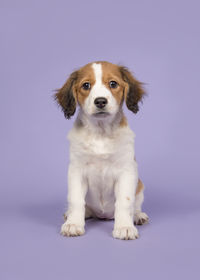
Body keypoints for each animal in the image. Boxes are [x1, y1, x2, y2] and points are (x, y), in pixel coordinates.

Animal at [54, 60, 148, 240]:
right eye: (86, 85)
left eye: (113, 84)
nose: (100, 101)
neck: (101, 132)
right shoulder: (77, 170)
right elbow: (76, 200)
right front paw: (73, 224)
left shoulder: (126, 171)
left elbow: (125, 201)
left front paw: (125, 227)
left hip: (139, 186)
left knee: (135, 205)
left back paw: (137, 216)